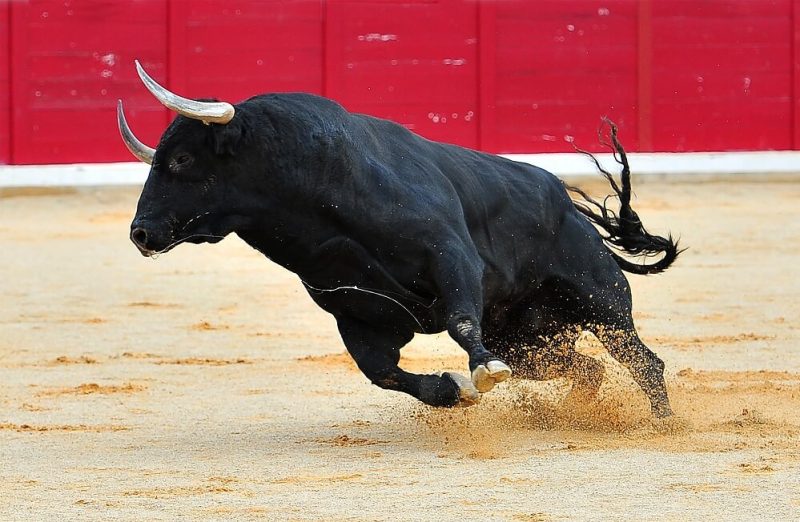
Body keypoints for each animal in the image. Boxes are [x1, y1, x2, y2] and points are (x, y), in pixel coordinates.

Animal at [118, 61, 681, 418]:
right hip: (525, 338)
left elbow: (459, 321)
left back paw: (662, 422)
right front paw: (454, 391)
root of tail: (566, 203)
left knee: (642, 359)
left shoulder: (452, 258)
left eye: (182, 158)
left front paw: (480, 372)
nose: (141, 232)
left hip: (599, 299)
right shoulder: (356, 314)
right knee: (587, 370)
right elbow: (382, 373)